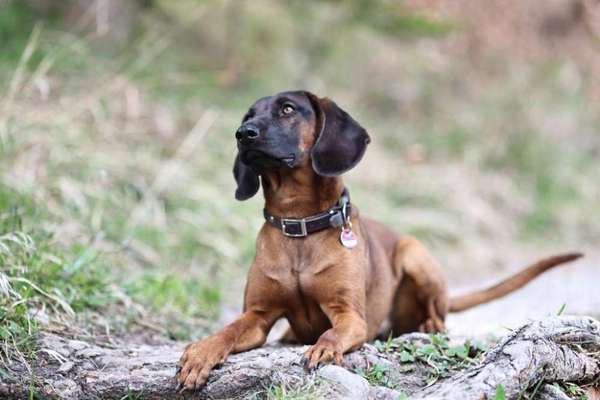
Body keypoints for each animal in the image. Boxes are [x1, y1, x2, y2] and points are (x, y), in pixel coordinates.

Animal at [176, 91, 584, 390]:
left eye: (287, 109)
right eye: (249, 114)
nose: (242, 133)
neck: (299, 224)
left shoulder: (350, 316)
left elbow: (332, 333)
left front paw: (323, 349)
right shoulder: (258, 316)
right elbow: (226, 331)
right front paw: (199, 354)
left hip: (413, 252)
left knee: (439, 314)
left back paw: (429, 326)